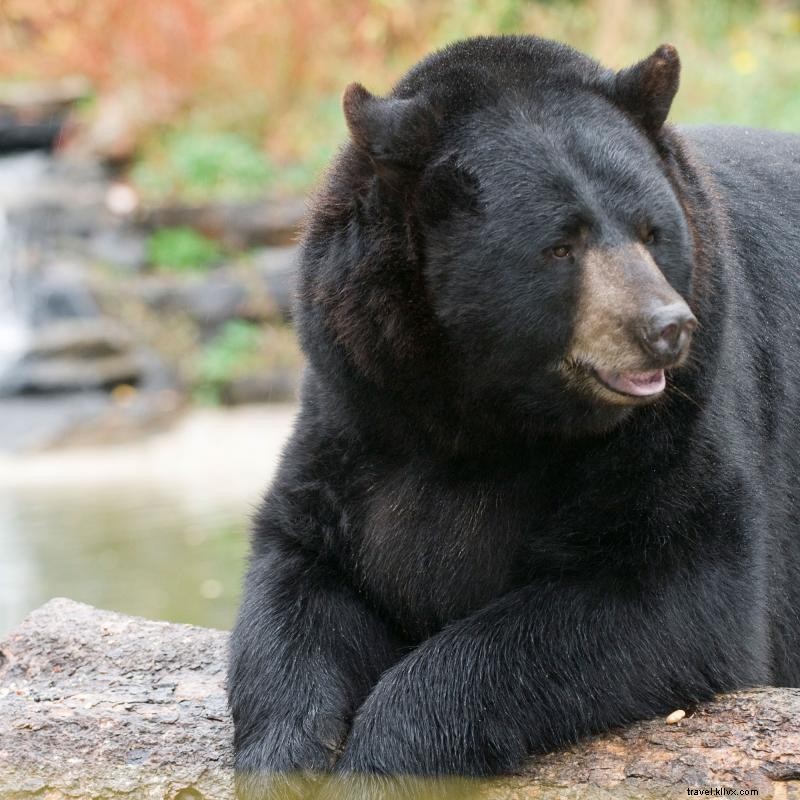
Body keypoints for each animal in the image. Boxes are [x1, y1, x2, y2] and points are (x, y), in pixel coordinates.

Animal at [227, 34, 800, 796]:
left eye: (653, 231)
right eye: (561, 245)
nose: (667, 327)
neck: (489, 418)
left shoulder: (680, 421)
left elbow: (670, 585)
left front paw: (384, 758)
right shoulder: (358, 409)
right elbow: (299, 569)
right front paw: (285, 756)